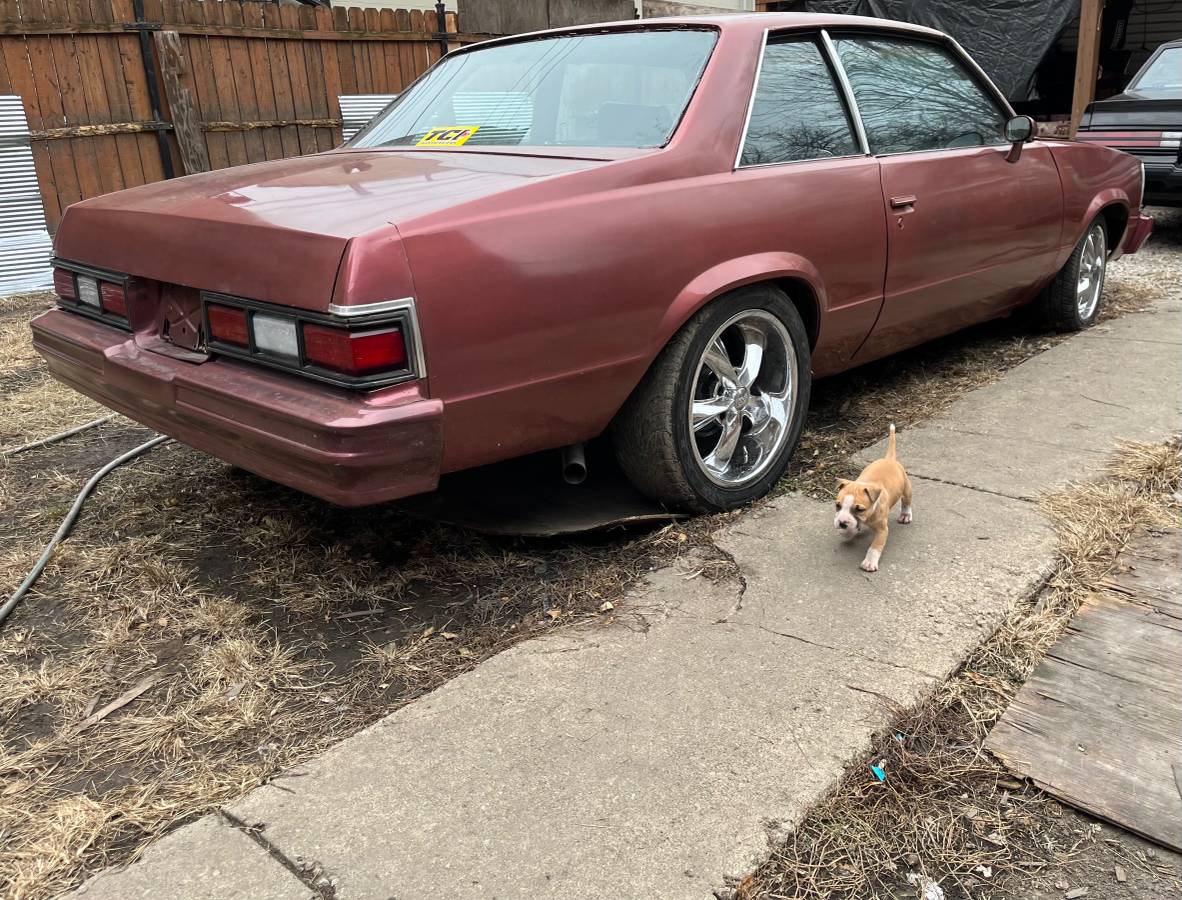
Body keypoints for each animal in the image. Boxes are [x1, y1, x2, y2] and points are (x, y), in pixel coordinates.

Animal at [832, 421, 912, 567]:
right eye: (837, 505)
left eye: (859, 509)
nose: (841, 523)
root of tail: (889, 459)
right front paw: (847, 532)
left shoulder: (882, 530)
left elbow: (875, 546)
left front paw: (869, 562)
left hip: (906, 488)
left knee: (906, 501)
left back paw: (905, 515)